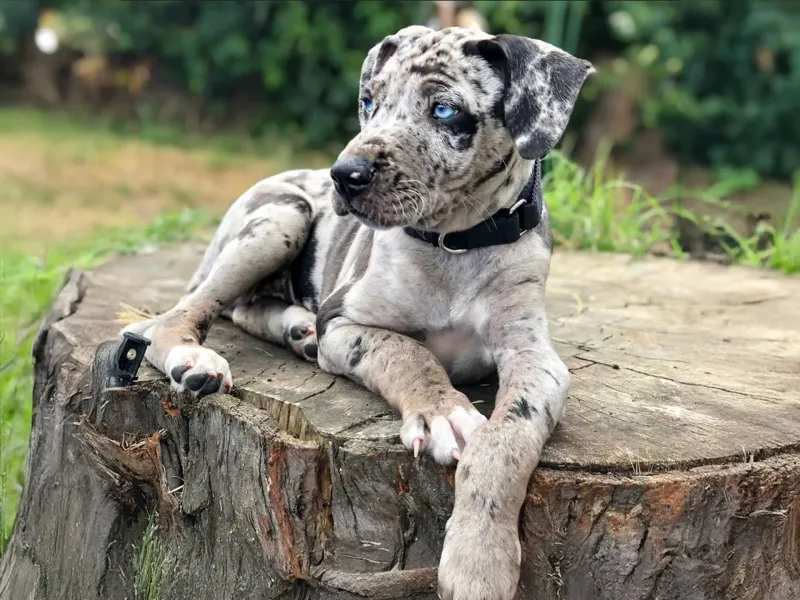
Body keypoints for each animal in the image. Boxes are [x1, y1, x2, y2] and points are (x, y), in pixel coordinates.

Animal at [122, 24, 592, 600]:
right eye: (370, 102)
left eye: (444, 110)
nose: (344, 174)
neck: (456, 244)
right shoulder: (347, 323)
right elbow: (407, 352)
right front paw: (442, 411)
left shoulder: (537, 359)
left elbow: (506, 441)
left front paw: (480, 559)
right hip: (281, 218)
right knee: (183, 314)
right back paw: (197, 360)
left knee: (247, 307)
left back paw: (298, 330)